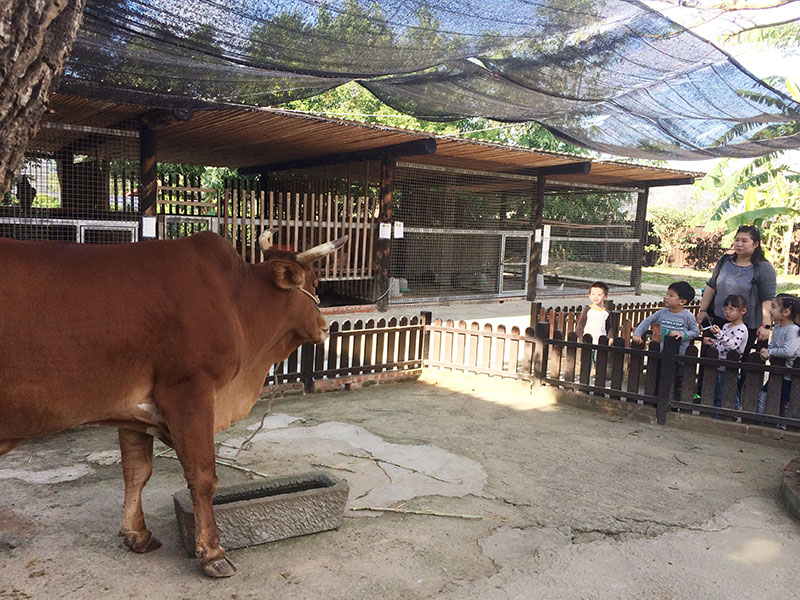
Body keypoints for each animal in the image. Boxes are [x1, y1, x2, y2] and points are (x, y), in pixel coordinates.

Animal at [0, 230, 346, 576]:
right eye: (314, 282)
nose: (325, 327)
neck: (234, 301)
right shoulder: (189, 393)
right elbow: (202, 475)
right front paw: (212, 552)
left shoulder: (132, 411)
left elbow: (136, 471)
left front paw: (137, 534)